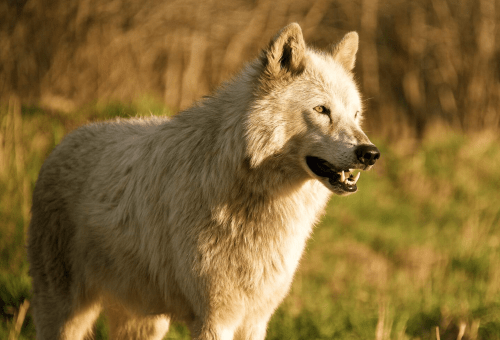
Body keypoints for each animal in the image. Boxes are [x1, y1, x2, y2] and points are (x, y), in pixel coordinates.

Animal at [28, 23, 378, 340]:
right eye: (321, 109)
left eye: (355, 115)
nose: (371, 153)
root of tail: (63, 141)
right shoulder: (215, 319)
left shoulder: (255, 319)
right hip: (65, 314)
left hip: (144, 322)